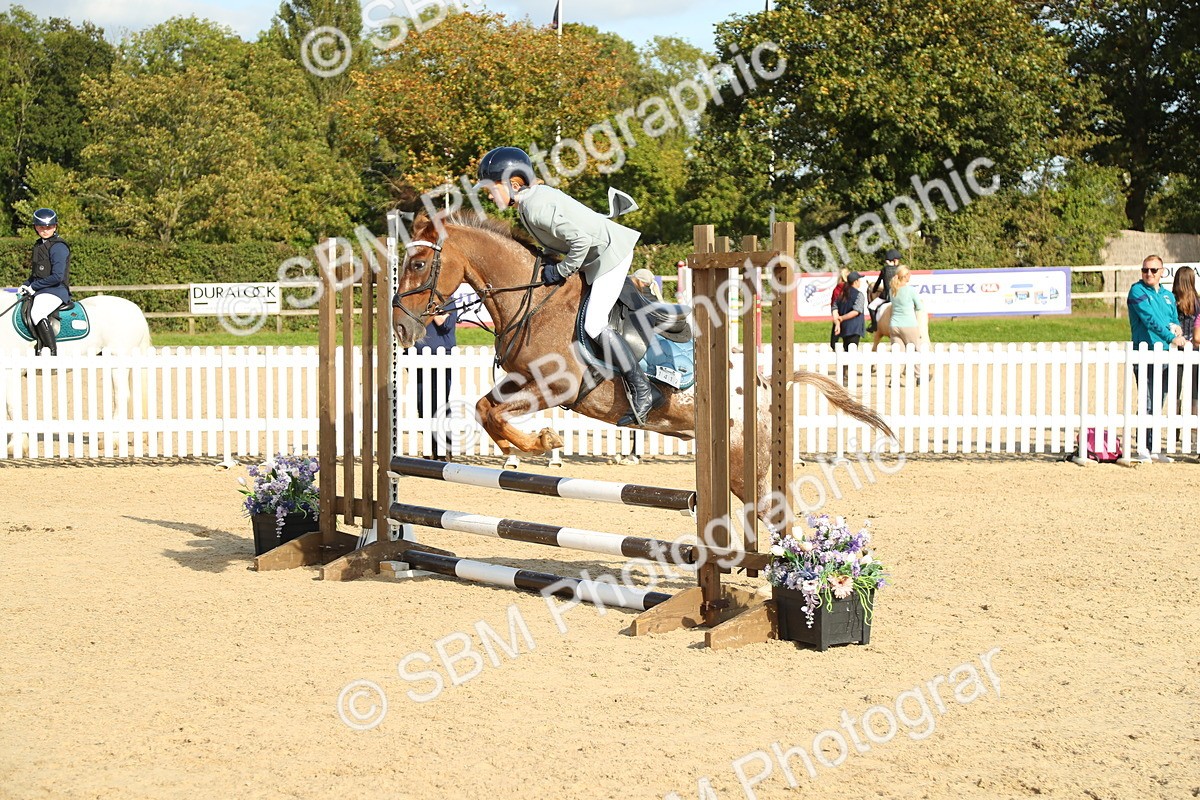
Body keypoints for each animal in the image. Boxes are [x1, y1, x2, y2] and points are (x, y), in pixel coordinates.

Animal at [2, 293, 152, 456]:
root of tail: (135, 309)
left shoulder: (10, 372)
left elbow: (11, 406)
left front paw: (15, 446)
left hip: (117, 360)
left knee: (121, 397)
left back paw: (110, 441)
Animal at [392, 212, 894, 529]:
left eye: (418, 263)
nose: (399, 327)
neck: (533, 300)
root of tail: (766, 384)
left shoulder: (559, 386)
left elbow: (492, 411)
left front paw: (543, 441)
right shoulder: (521, 380)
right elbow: (484, 407)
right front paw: (525, 446)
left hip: (741, 459)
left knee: (772, 512)